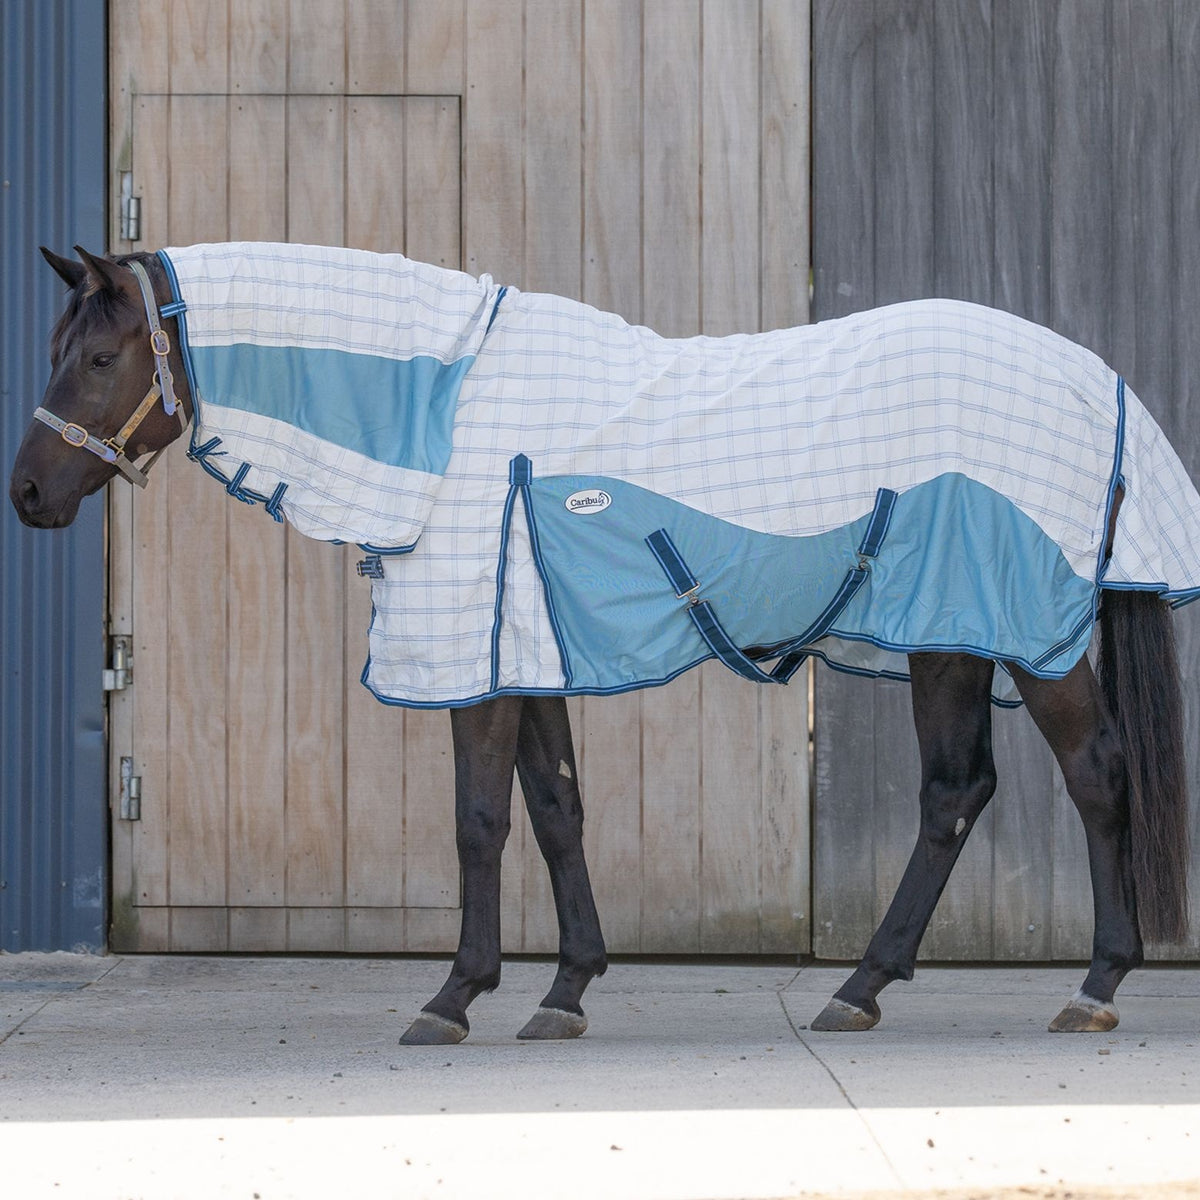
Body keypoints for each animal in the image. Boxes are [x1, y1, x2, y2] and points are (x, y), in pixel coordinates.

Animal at [10, 244, 1194, 1043]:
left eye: (103, 355)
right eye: (58, 349)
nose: (26, 494)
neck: (446, 418)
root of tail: (1096, 379)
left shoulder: (481, 665)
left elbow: (480, 821)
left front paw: (454, 997)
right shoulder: (524, 653)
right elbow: (556, 810)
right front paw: (565, 989)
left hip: (1027, 638)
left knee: (1094, 773)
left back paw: (1094, 986)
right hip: (949, 637)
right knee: (955, 793)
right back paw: (861, 988)